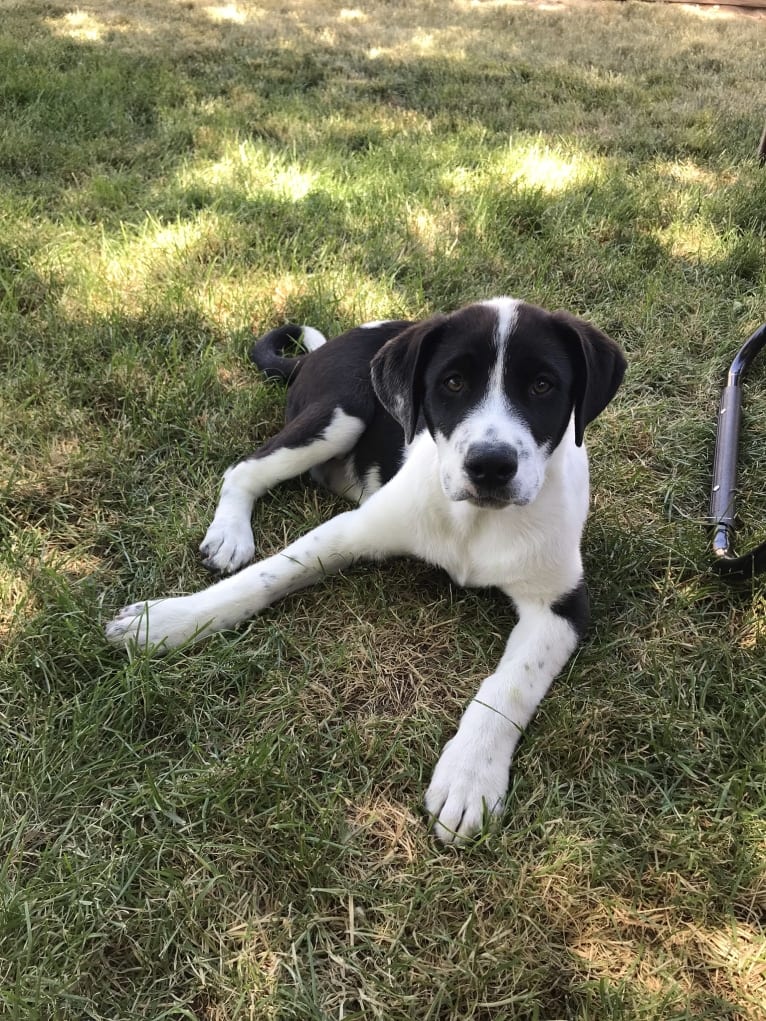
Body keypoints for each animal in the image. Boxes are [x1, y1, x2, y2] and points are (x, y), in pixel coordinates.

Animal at [105, 296, 625, 845]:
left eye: (543, 386)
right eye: (453, 382)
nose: (490, 466)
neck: (475, 522)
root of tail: (323, 349)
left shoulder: (560, 605)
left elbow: (510, 686)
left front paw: (469, 776)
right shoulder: (349, 531)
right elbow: (263, 577)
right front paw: (166, 621)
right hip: (340, 414)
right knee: (244, 468)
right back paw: (231, 533)